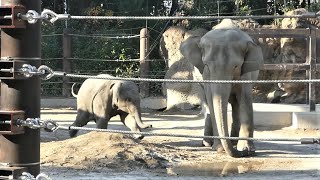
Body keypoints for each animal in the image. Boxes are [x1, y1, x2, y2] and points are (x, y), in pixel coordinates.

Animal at [181, 19, 264, 158]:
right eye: (206, 65)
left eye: (236, 66)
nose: (244, 153)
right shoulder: (206, 75)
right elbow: (211, 99)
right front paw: (219, 148)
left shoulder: (245, 72)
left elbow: (245, 97)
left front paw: (247, 149)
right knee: (207, 104)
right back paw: (207, 143)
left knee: (236, 104)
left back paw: (233, 141)